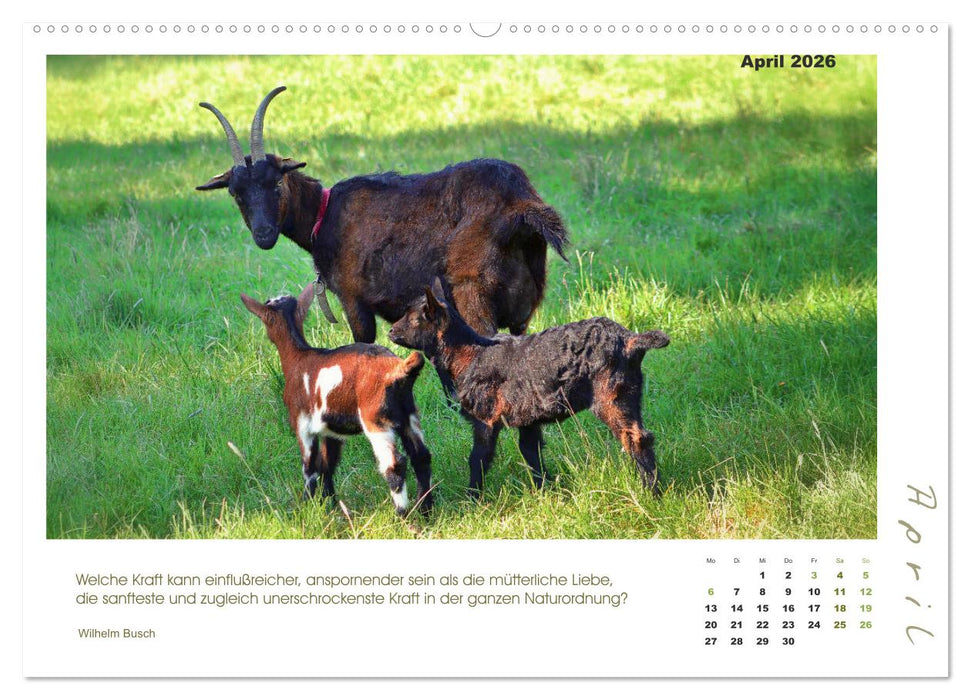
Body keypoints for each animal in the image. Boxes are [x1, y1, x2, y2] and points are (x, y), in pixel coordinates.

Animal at [198, 86, 569, 346]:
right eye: (235, 192)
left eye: (276, 183)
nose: (263, 235)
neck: (324, 213)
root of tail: (520, 205)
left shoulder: (354, 299)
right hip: (525, 301)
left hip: (473, 291)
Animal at [241, 283, 433, 515]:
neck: (298, 357)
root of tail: (399, 368)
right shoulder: (331, 430)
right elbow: (327, 465)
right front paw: (330, 503)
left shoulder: (301, 423)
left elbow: (310, 467)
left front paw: (307, 506)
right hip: (408, 414)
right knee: (421, 456)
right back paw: (426, 509)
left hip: (375, 420)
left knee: (394, 464)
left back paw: (402, 514)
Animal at [388, 281, 670, 496]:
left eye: (414, 319)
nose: (390, 331)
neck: (470, 353)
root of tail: (630, 340)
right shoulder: (528, 416)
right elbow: (531, 452)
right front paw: (545, 491)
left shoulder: (485, 417)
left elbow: (478, 458)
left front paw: (472, 498)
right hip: (631, 392)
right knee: (643, 435)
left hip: (610, 395)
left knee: (635, 438)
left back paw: (650, 493)